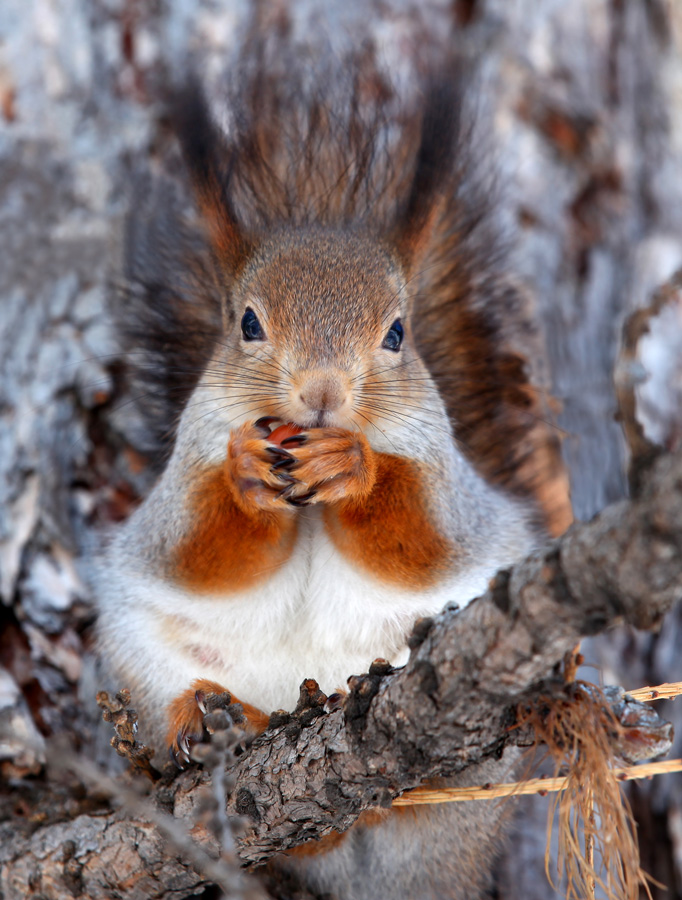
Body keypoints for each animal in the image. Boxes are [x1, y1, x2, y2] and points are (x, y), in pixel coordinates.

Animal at [93, 31, 572, 900]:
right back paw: (214, 718)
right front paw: (246, 476)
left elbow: (423, 540)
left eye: (398, 333)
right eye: (247, 323)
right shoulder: (179, 479)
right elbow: (195, 548)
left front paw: (356, 466)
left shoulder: (449, 484)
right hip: (143, 664)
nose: (320, 394)